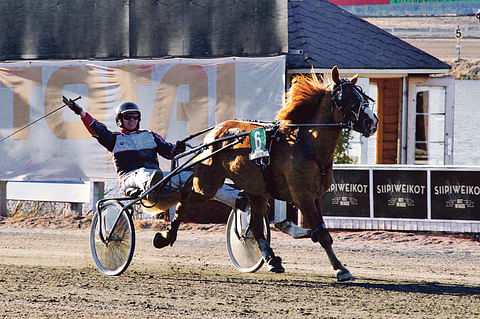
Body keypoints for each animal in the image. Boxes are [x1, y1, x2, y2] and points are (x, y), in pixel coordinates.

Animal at [159, 66, 376, 282]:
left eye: (363, 96)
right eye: (345, 98)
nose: (372, 122)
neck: (307, 145)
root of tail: (215, 133)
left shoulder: (315, 196)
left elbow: (319, 230)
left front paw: (293, 231)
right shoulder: (302, 195)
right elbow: (322, 234)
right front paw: (341, 269)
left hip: (255, 190)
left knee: (254, 225)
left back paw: (272, 259)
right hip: (207, 184)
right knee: (184, 198)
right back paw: (166, 237)